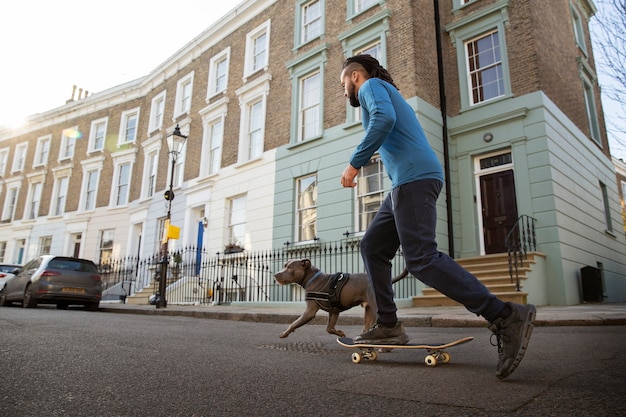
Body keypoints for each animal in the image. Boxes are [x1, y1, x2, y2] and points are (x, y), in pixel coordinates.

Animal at [272, 258, 408, 340]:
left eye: (290, 268)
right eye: (285, 265)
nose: (275, 274)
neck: (311, 278)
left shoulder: (309, 312)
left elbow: (294, 323)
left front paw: (285, 333)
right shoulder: (334, 311)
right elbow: (329, 328)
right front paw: (340, 333)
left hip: (375, 307)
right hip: (368, 309)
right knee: (367, 326)